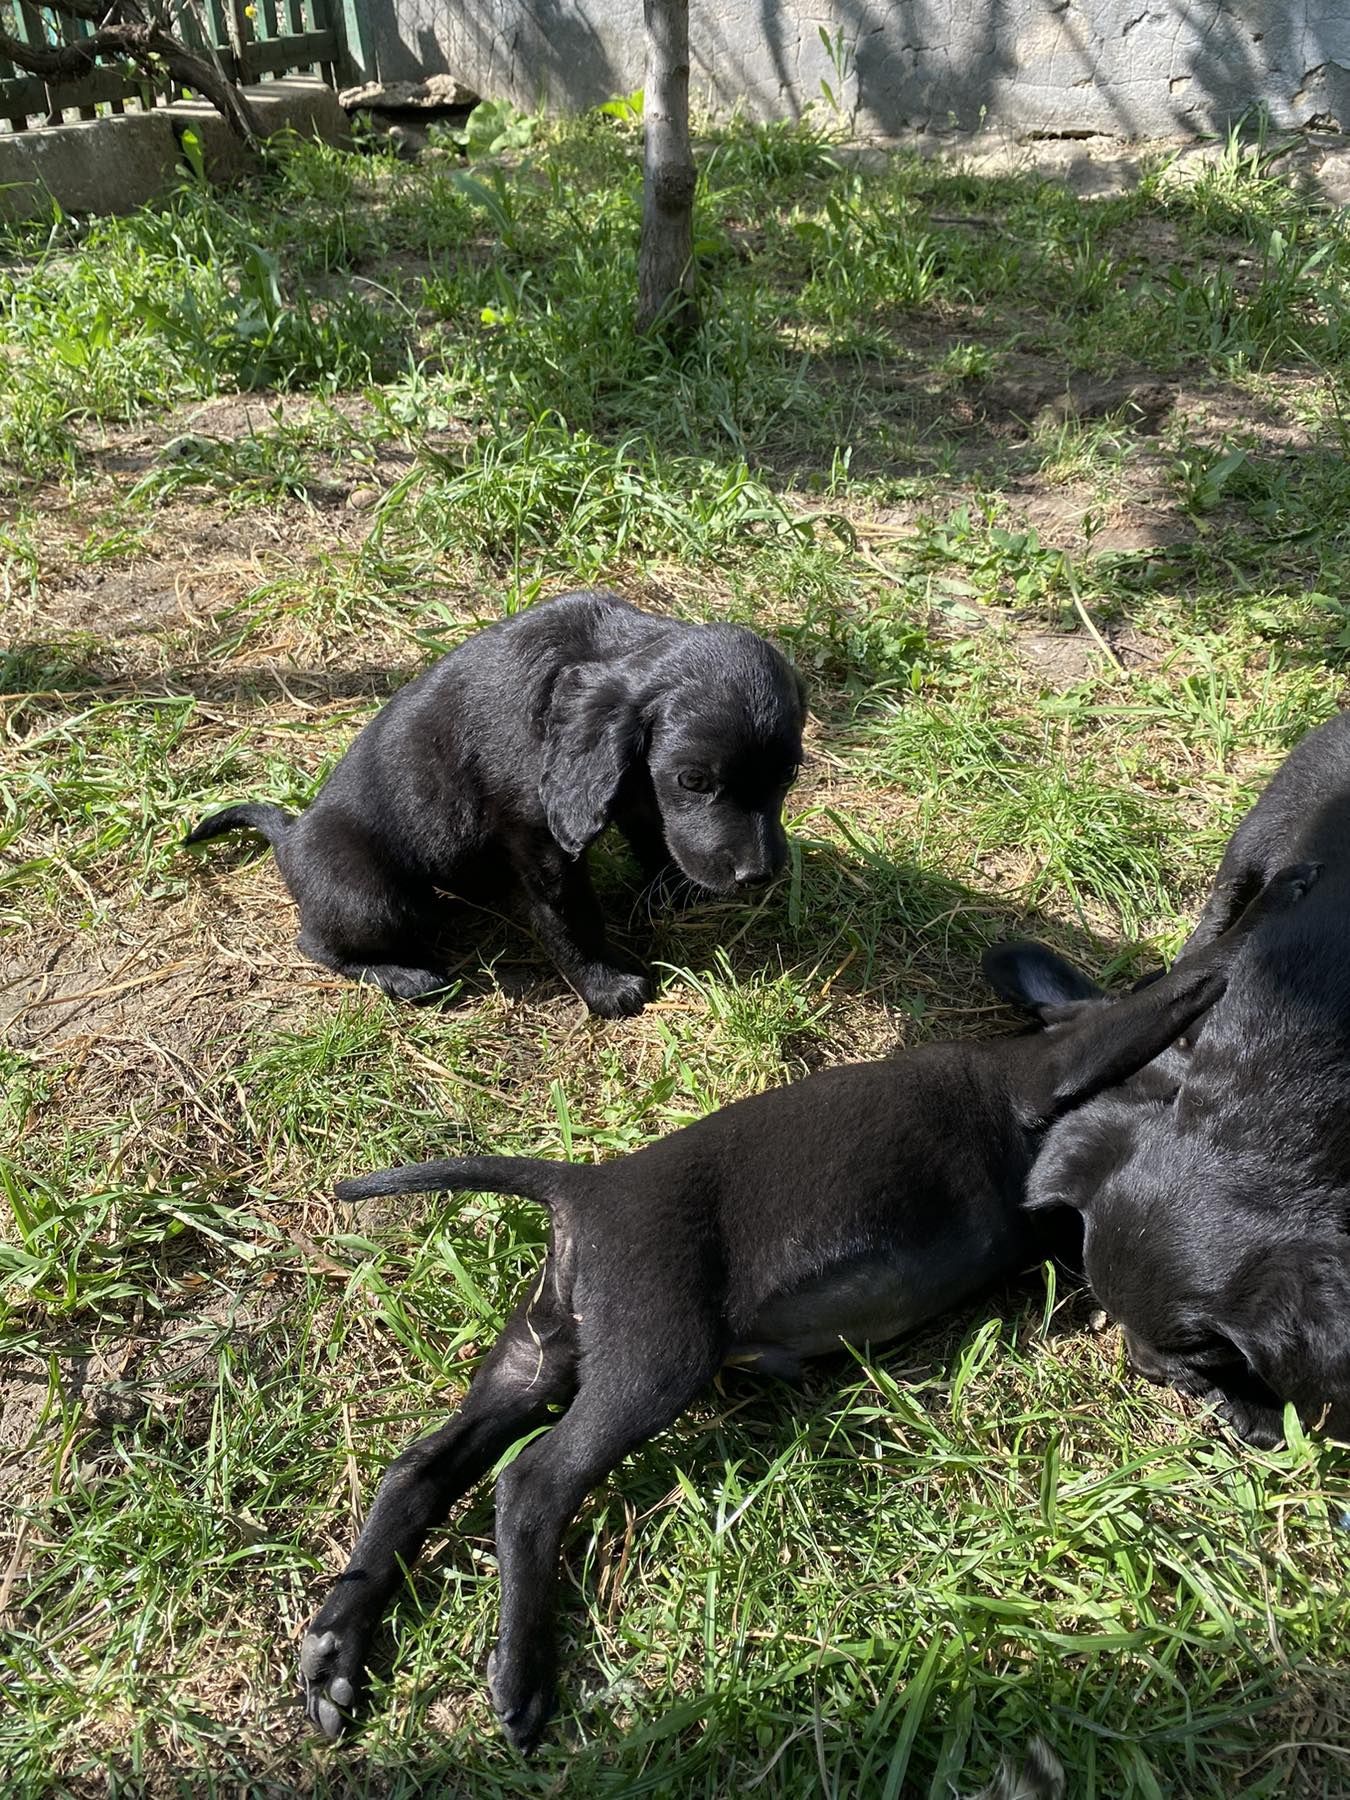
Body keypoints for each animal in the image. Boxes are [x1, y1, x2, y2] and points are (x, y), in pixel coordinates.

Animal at [186, 586, 810, 1015]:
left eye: (789, 775)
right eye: (695, 781)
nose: (758, 876)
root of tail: (290, 837)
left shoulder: (630, 793)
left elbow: (655, 835)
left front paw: (668, 890)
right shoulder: (542, 846)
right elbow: (571, 919)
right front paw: (606, 986)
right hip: (374, 900)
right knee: (317, 942)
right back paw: (404, 976)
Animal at [298, 864, 1310, 1749]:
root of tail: (580, 1189)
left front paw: (1243, 1398)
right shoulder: (1059, 1067)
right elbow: (1182, 985)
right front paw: (1269, 919)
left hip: (535, 1356)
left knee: (419, 1470)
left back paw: (338, 1643)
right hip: (656, 1358)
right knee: (533, 1484)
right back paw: (518, 1671)